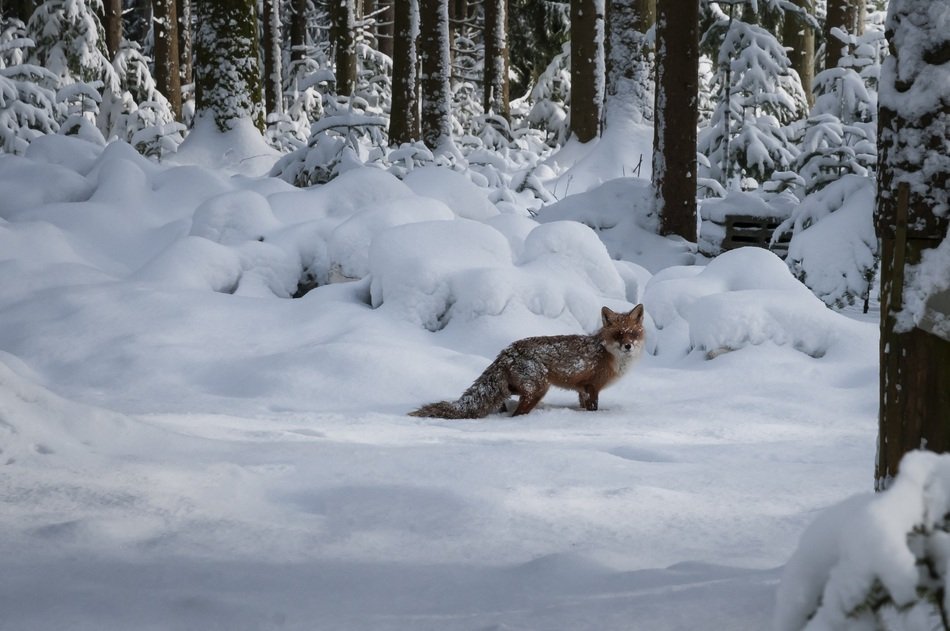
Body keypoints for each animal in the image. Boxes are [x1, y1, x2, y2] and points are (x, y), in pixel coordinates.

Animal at [409, 304, 645, 419]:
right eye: (618, 335)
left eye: (632, 334)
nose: (628, 346)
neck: (609, 355)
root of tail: (507, 351)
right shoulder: (591, 387)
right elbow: (593, 409)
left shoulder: (582, 389)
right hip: (538, 390)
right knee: (516, 413)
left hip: (520, 388)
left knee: (503, 397)